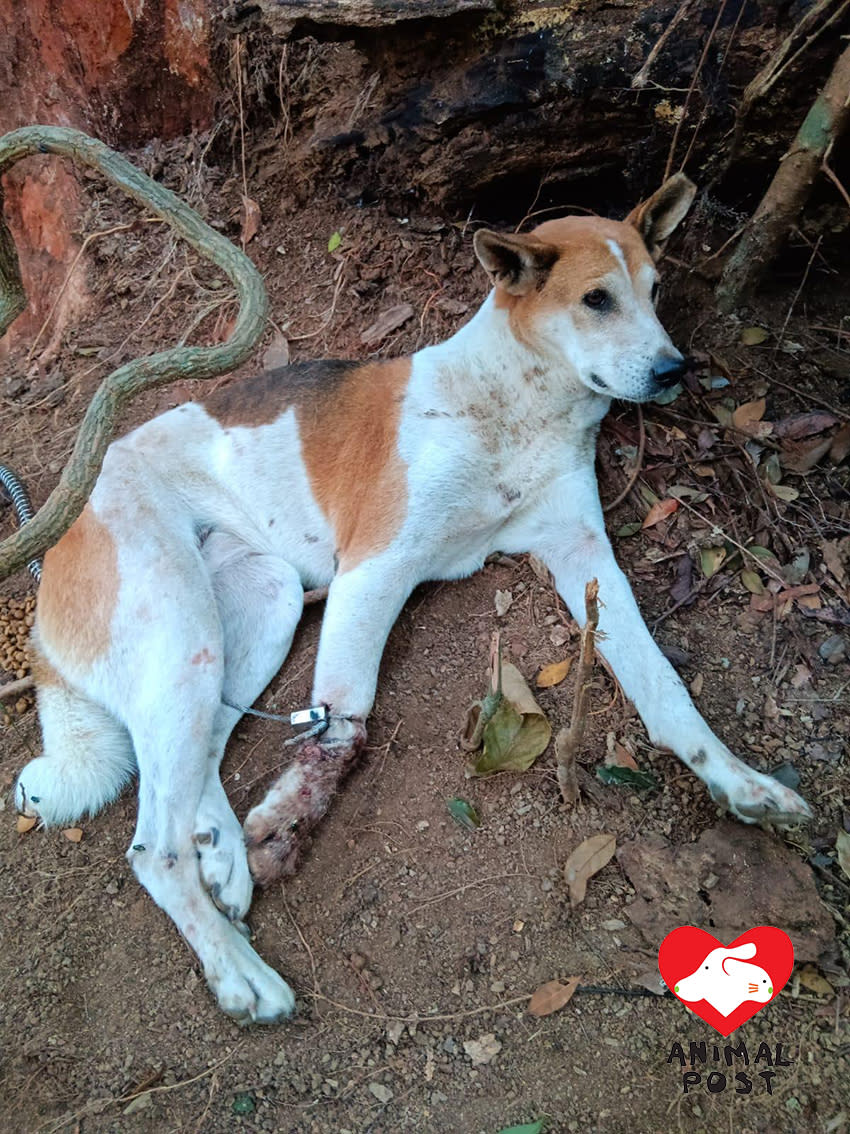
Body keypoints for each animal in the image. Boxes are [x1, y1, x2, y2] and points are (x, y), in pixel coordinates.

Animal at [13, 174, 811, 1020]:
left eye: (655, 292)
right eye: (596, 299)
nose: (673, 370)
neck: (511, 402)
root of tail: (60, 534)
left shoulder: (586, 558)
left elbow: (664, 689)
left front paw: (740, 782)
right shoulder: (375, 568)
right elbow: (341, 723)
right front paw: (290, 821)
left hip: (257, 608)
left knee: (202, 757)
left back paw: (221, 854)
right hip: (182, 634)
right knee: (151, 848)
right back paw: (235, 967)